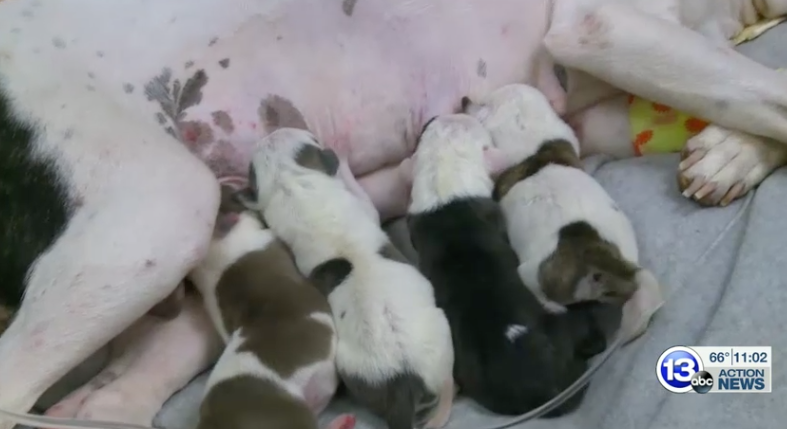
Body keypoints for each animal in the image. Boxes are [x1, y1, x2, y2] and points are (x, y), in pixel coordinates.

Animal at [245, 129, 456, 428]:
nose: (273, 131)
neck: (289, 183)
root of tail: (401, 383)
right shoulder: (364, 206)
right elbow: (362, 195)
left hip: (349, 368)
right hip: (440, 335)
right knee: (446, 385)